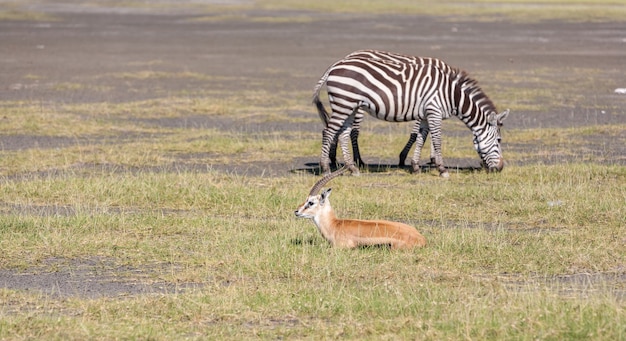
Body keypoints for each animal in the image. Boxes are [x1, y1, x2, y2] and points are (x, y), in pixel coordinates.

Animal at [312, 49, 508, 177]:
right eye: (499, 140)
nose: (500, 168)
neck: (451, 94)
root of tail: (336, 64)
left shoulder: (425, 115)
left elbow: (421, 137)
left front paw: (415, 166)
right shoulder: (434, 111)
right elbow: (436, 139)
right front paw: (441, 169)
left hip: (350, 106)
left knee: (343, 133)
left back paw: (352, 168)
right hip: (344, 103)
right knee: (329, 131)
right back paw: (327, 167)